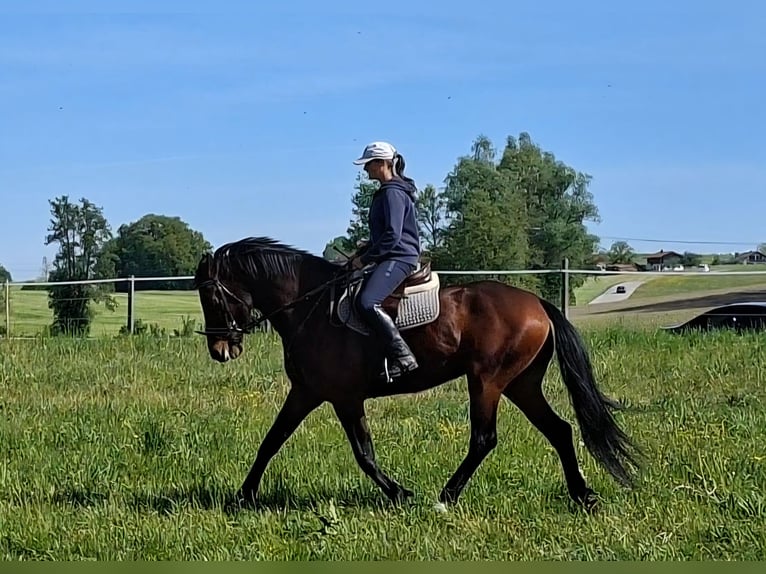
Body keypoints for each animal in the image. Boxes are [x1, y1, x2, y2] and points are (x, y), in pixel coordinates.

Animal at [193, 236, 642, 511]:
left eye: (210, 293)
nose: (220, 350)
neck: (311, 308)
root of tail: (537, 303)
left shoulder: (342, 397)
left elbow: (364, 454)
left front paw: (399, 493)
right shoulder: (306, 391)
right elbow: (271, 442)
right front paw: (243, 496)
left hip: (488, 381)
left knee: (484, 439)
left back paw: (446, 496)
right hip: (521, 384)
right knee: (559, 430)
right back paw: (583, 496)